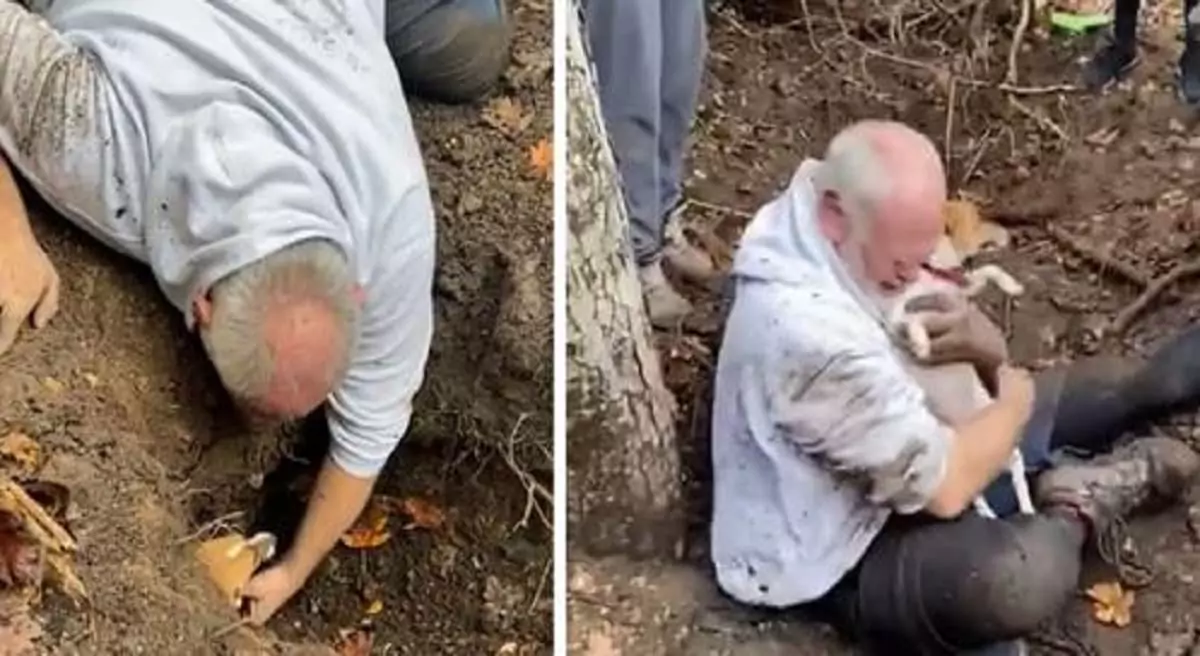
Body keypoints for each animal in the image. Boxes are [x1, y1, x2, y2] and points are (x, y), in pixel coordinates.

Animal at [878, 236, 1036, 518]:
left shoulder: (961, 295)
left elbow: (988, 272)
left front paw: (1012, 286)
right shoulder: (904, 317)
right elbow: (914, 321)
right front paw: (921, 344)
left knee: (1017, 469)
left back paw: (1027, 507)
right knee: (975, 493)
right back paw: (990, 513)